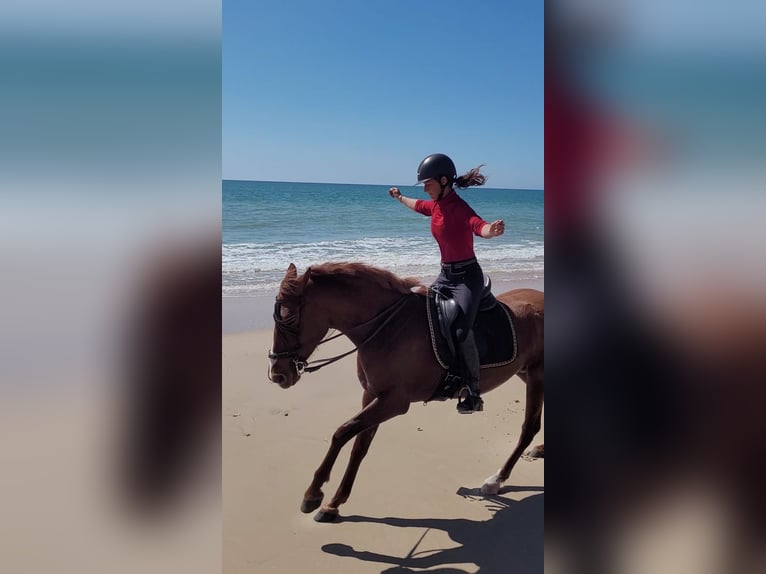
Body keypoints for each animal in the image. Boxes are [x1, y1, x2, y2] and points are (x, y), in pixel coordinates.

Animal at [267, 262, 544, 522]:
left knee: (529, 427)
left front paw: (313, 494)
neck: (387, 328)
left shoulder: (394, 402)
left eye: (290, 320)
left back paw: (497, 478)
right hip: (525, 373)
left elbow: (342, 433)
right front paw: (333, 504)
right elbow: (359, 446)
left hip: (536, 374)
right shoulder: (372, 395)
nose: (277, 374)